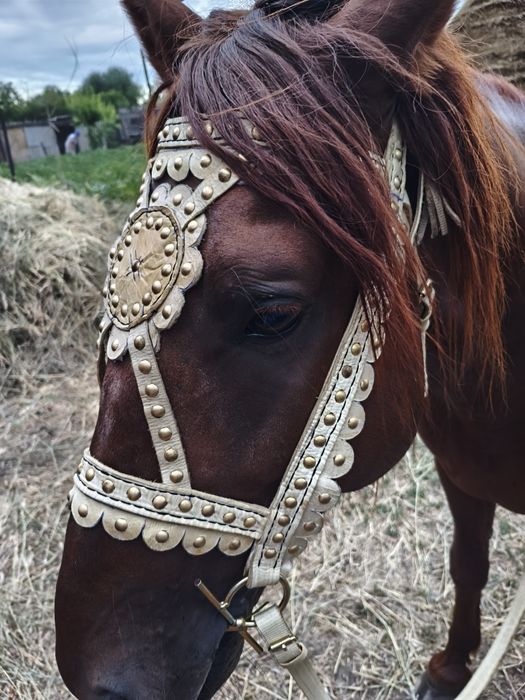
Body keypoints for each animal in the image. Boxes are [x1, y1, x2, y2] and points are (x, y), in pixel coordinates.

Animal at [54, 0, 525, 698]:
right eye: (114, 283)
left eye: (275, 314)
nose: (101, 679)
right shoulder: (458, 473)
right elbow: (468, 561)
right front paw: (451, 666)